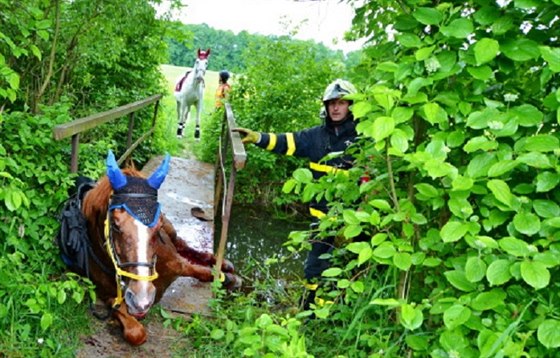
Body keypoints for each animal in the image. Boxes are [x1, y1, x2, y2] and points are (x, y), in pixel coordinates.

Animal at [59, 150, 241, 344]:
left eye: (157, 224)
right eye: (115, 224)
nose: (142, 298)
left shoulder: (179, 264)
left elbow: (201, 271)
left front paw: (228, 278)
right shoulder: (109, 297)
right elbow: (136, 333)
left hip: (172, 232)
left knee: (183, 246)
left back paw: (223, 263)